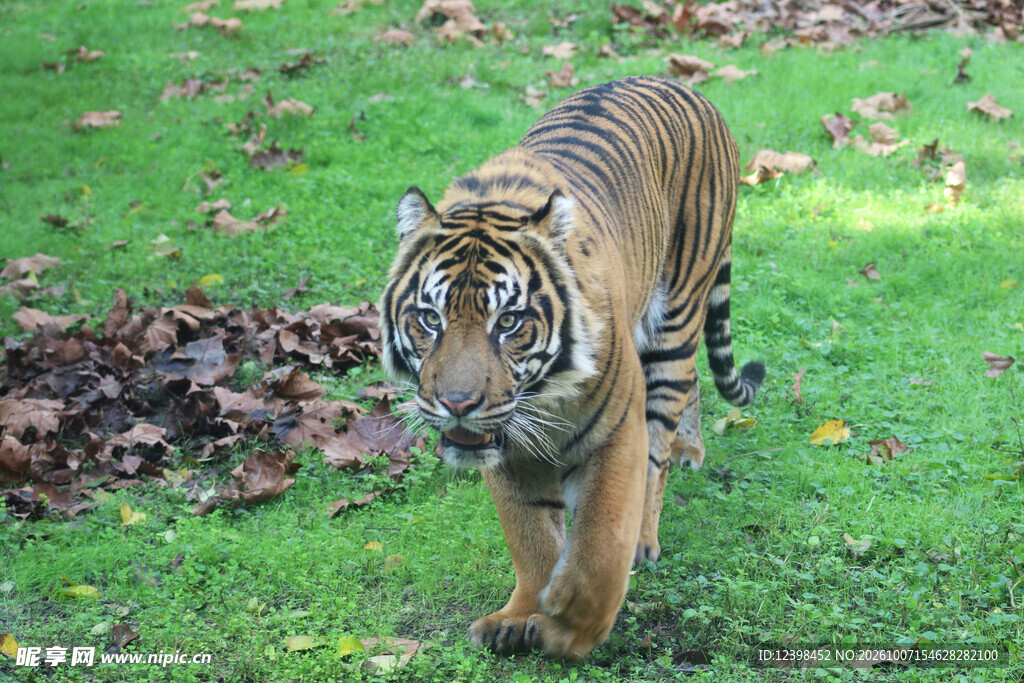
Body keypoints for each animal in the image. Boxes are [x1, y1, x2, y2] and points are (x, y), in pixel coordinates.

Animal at [378, 76, 764, 660]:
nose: (457, 404)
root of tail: (685, 85)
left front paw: (574, 622)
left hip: (676, 319)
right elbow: (531, 534)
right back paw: (691, 449)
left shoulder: (616, 432)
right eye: (429, 318)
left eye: (508, 321)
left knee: (661, 440)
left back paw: (650, 528)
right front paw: (522, 615)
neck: (543, 396)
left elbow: (602, 537)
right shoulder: (508, 448)